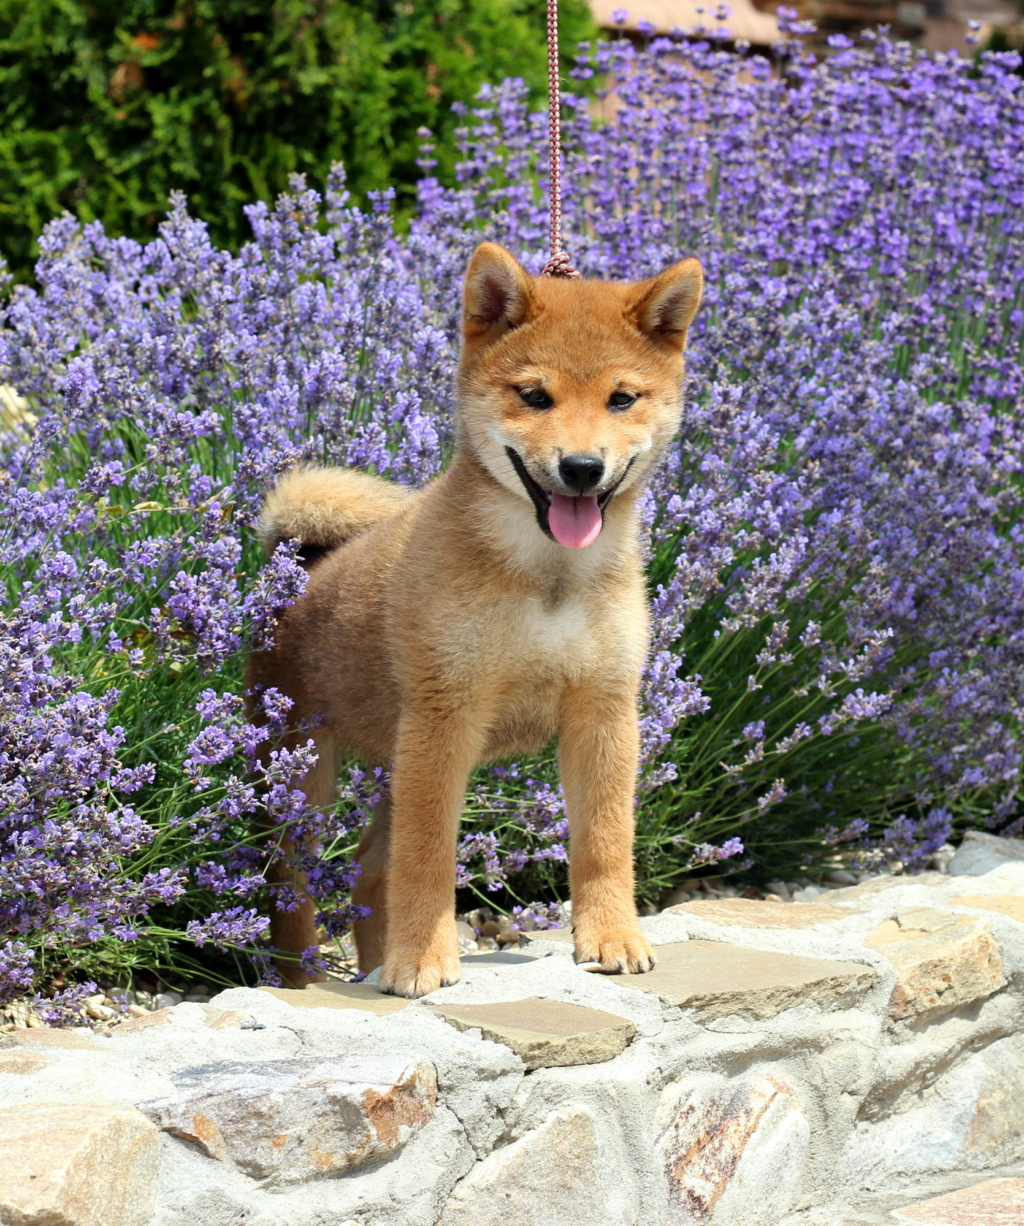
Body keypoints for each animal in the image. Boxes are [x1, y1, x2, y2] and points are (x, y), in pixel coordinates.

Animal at [250, 241, 706, 995]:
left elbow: (606, 841)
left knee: (369, 870)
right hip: (303, 772)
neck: (550, 577)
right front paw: (423, 959)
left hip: (389, 764)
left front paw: (612, 935)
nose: (582, 467)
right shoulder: (446, 715)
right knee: (293, 884)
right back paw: (302, 980)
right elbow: (428, 857)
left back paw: (371, 965)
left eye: (621, 398)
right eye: (534, 396)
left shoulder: (604, 711)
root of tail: (304, 567)